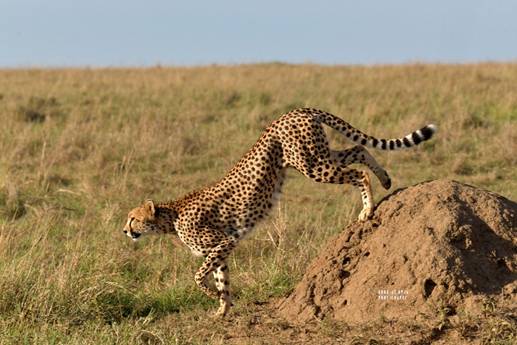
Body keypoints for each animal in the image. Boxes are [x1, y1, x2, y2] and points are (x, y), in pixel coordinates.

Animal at [124, 107, 436, 314]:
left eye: (133, 218)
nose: (125, 231)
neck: (171, 216)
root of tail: (293, 111)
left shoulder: (223, 241)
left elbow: (199, 276)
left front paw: (213, 299)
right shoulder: (223, 249)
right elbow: (222, 280)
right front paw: (223, 310)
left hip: (312, 164)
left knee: (358, 174)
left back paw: (367, 209)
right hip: (317, 155)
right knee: (358, 149)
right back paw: (385, 180)